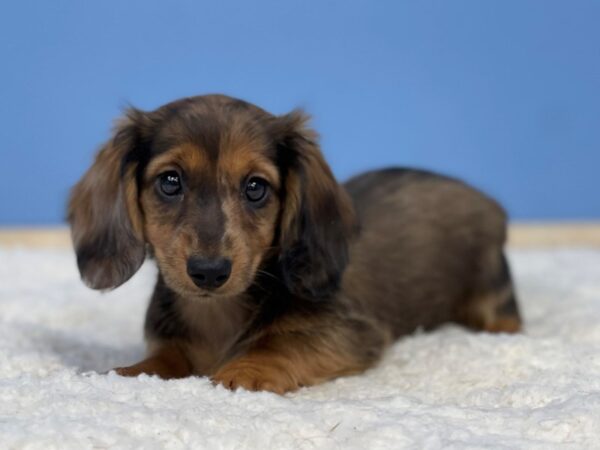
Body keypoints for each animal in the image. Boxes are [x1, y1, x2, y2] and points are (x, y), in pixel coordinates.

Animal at [69, 95, 520, 394]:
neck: (218, 313)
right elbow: (163, 360)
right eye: (169, 181)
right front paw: (125, 374)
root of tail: (484, 199)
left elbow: (283, 343)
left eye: (255, 187)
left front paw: (242, 372)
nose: (210, 273)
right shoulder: (171, 343)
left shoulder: (350, 331)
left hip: (492, 291)